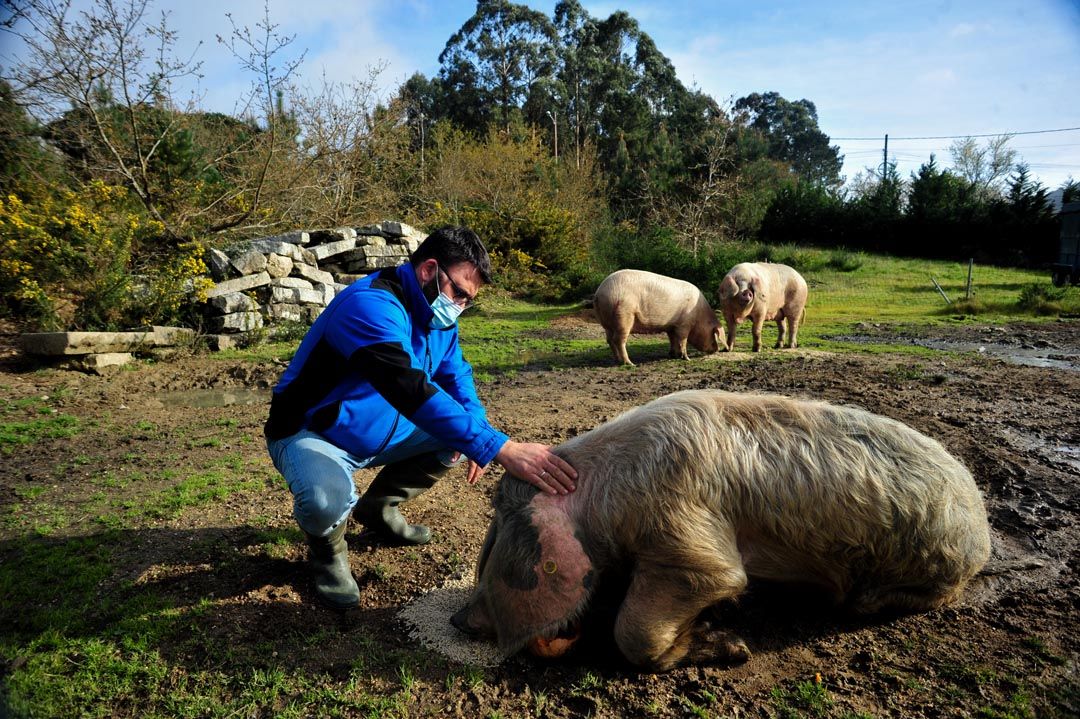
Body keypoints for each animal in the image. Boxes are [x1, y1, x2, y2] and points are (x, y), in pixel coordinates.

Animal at [451, 388, 989, 669]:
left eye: (499, 526)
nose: (458, 619)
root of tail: (983, 532)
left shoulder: (683, 528)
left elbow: (647, 624)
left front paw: (734, 646)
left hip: (930, 574)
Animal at [591, 268, 725, 364]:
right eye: (713, 335)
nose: (716, 350)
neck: (699, 317)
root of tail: (599, 293)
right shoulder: (684, 324)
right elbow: (683, 339)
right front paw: (687, 358)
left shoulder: (672, 326)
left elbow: (673, 339)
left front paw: (673, 355)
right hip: (624, 315)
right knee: (618, 340)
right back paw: (630, 363)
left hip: (607, 323)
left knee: (609, 340)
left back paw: (617, 360)